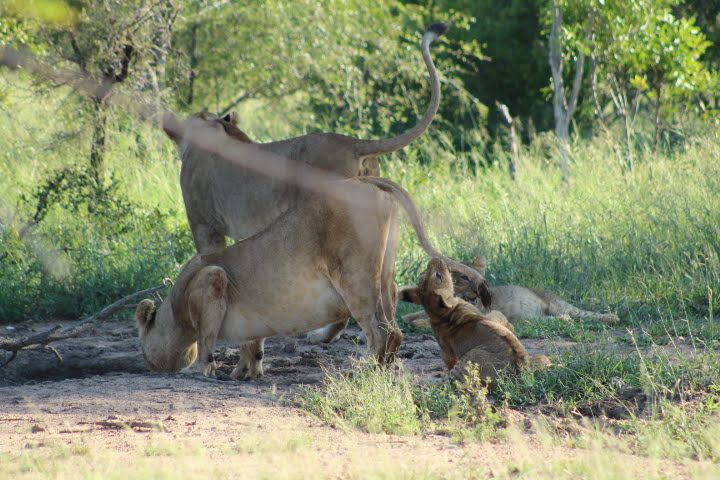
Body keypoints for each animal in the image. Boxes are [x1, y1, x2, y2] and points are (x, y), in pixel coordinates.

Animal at [135, 178, 490, 376]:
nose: (148, 365)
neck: (173, 310)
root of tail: (370, 183)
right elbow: (253, 343)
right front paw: (245, 372)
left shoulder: (212, 279)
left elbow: (207, 338)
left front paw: (202, 370)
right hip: (384, 274)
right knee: (395, 328)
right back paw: (388, 368)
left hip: (354, 276)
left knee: (382, 330)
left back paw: (363, 370)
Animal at [402, 256, 548, 384]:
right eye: (438, 275)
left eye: (423, 273)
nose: (435, 258)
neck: (441, 313)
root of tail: (520, 369)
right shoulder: (447, 350)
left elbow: (498, 315)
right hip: (472, 356)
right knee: (450, 380)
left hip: (543, 358)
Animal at [404, 255, 620, 330]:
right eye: (464, 277)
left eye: (480, 279)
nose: (477, 293)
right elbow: (414, 316)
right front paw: (408, 318)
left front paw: (418, 322)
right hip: (535, 318)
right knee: (558, 319)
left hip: (558, 305)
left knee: (583, 314)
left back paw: (612, 318)